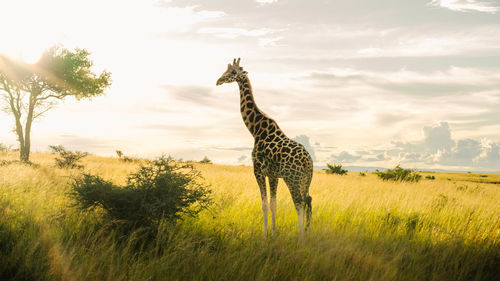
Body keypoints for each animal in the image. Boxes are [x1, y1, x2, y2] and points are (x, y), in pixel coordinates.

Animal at [215, 57, 312, 234]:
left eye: (232, 72)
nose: (218, 80)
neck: (256, 130)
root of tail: (309, 162)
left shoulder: (258, 170)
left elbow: (264, 204)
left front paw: (265, 234)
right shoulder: (273, 175)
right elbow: (273, 204)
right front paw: (274, 233)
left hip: (293, 179)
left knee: (299, 204)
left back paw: (300, 236)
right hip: (305, 181)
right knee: (308, 201)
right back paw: (306, 233)